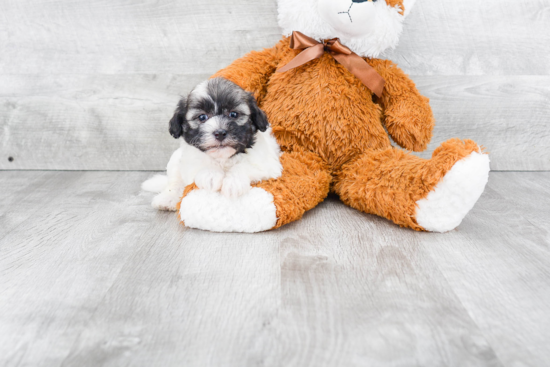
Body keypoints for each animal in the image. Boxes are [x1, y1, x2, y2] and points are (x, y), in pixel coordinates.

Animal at [142, 77, 284, 213]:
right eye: (202, 117)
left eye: (233, 114)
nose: (220, 133)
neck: (223, 158)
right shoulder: (189, 161)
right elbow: (200, 164)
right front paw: (211, 175)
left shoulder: (268, 165)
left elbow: (246, 166)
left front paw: (233, 182)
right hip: (175, 160)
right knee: (174, 182)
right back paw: (167, 198)